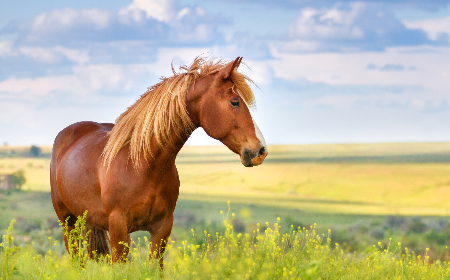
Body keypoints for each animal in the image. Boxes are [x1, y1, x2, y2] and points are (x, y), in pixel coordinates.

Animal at [50, 55, 268, 266]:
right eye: (235, 102)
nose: (261, 150)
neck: (143, 165)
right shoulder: (118, 228)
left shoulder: (162, 227)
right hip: (67, 222)